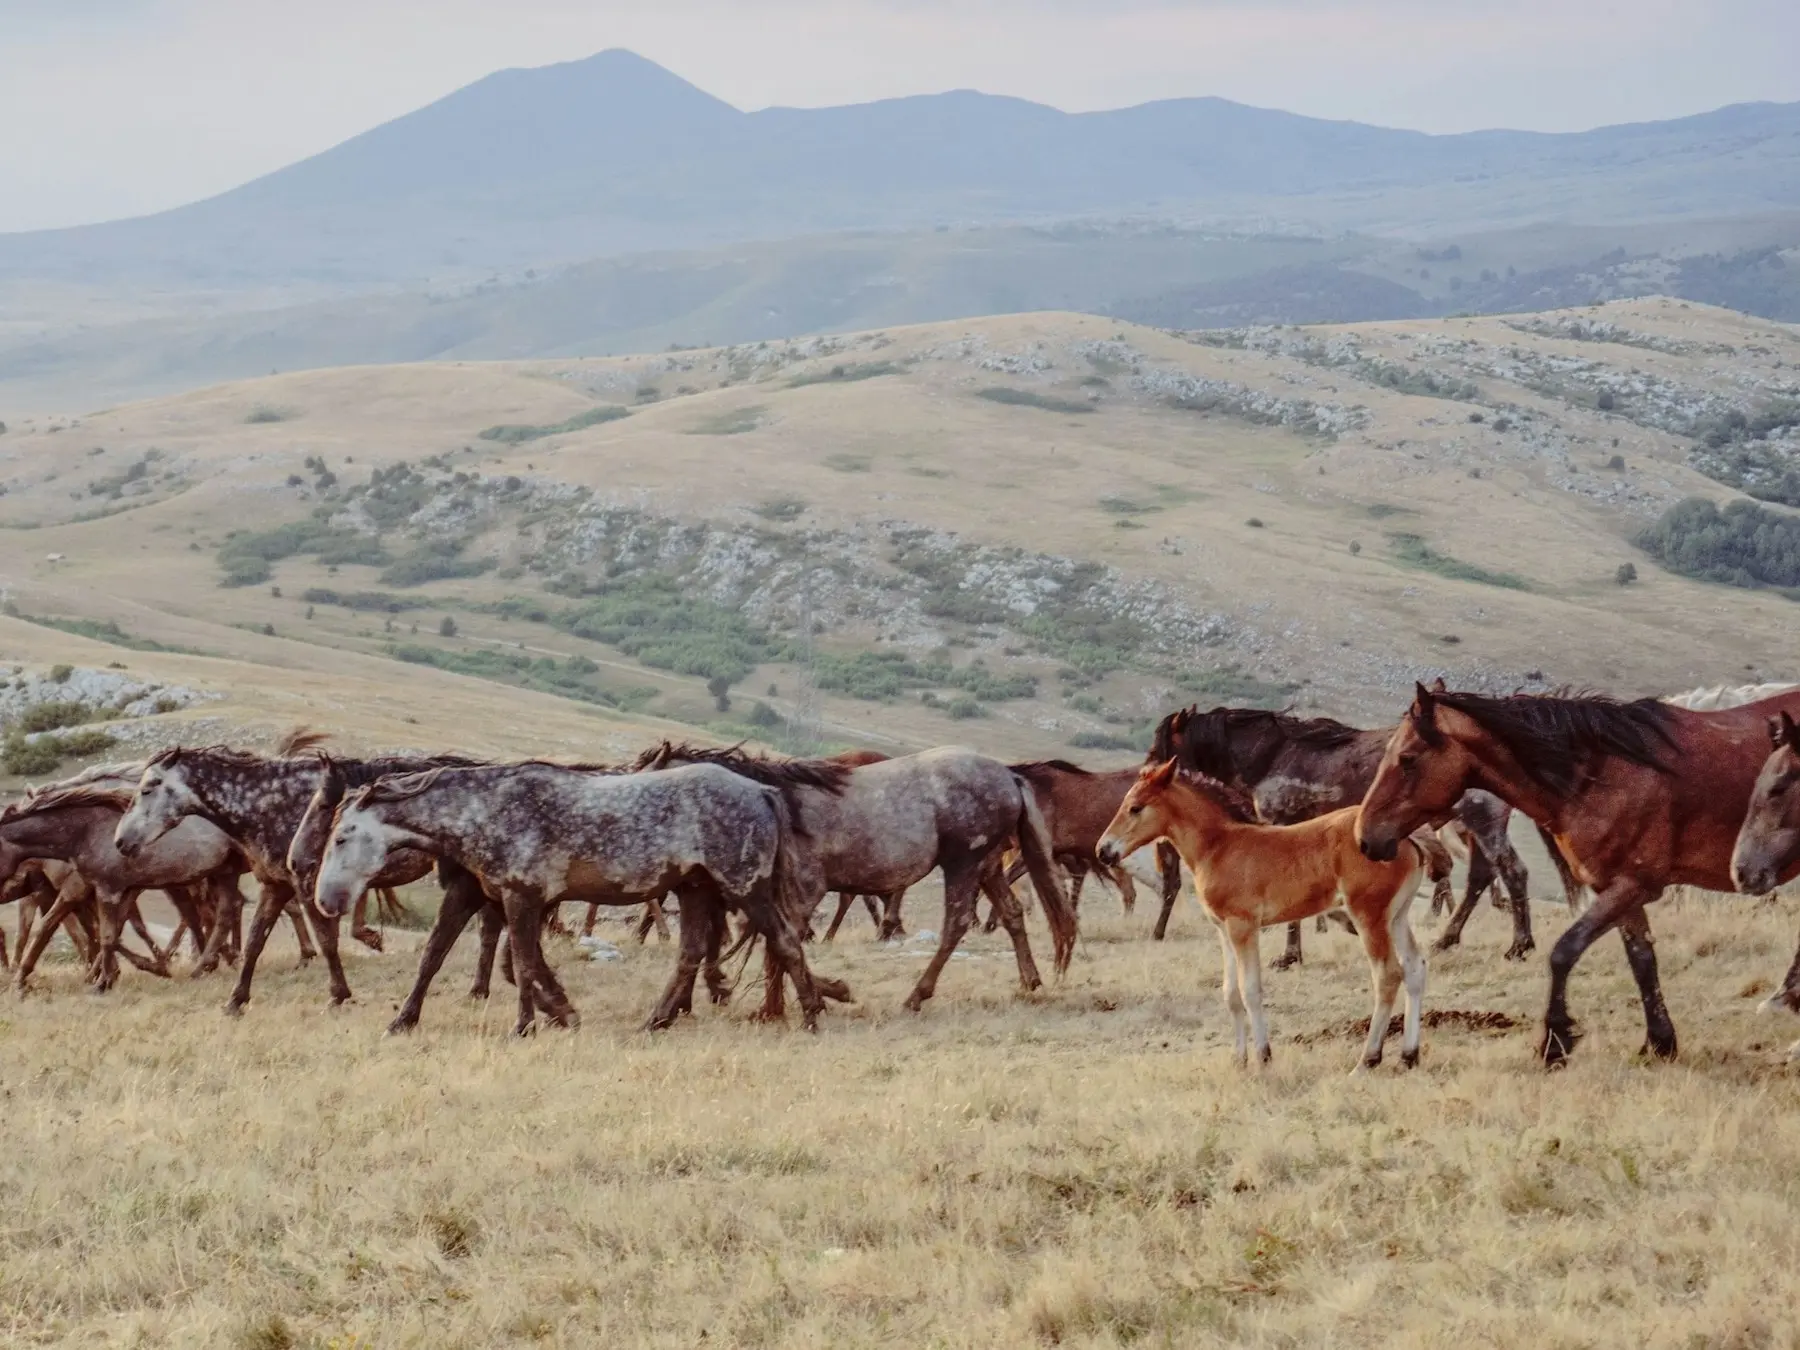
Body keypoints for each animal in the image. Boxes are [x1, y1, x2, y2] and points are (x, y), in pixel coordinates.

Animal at [1353, 687, 1800, 1065]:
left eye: (1407, 759)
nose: (1365, 838)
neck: (1602, 774)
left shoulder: (1633, 886)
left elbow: (1564, 950)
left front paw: (1555, 1040)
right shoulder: (1618, 888)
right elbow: (1642, 961)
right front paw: (1660, 1041)